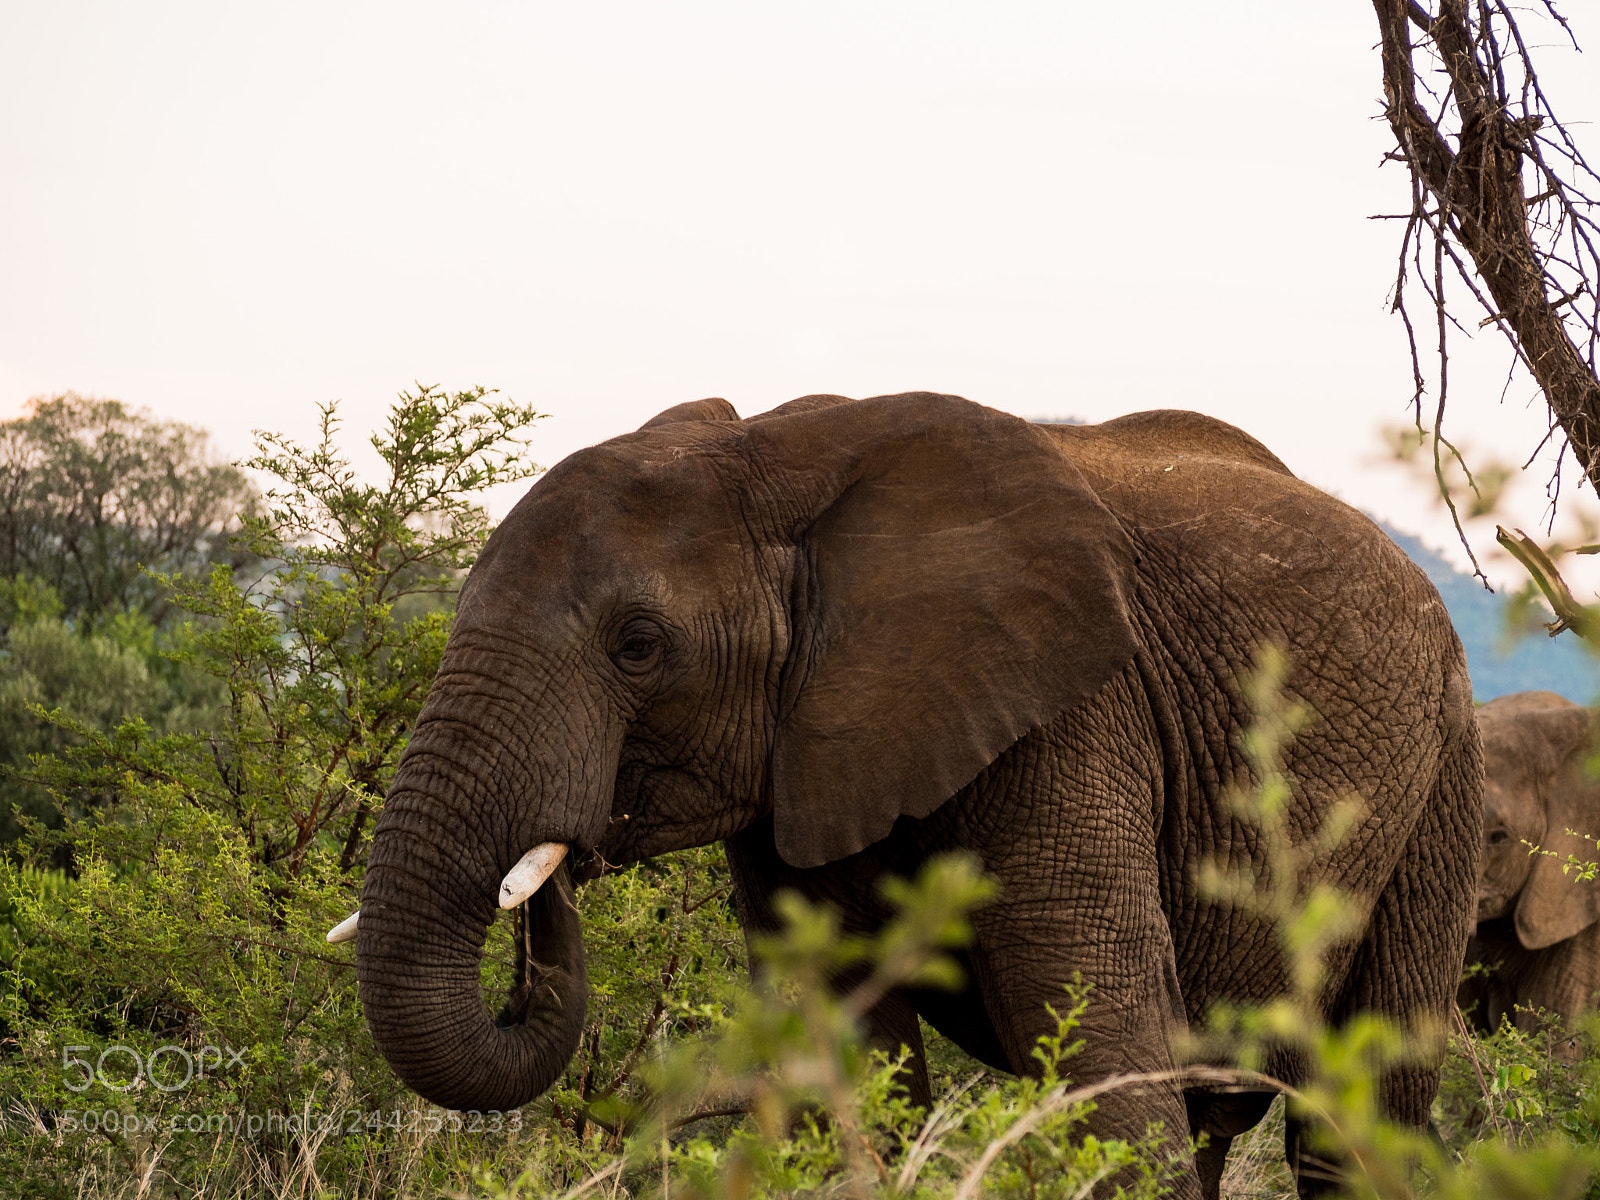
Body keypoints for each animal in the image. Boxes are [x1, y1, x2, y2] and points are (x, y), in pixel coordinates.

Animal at [340, 392, 1481, 1200]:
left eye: (638, 646)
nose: (558, 869)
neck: (773, 459)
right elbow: (839, 1048)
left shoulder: (1076, 714)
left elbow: (1092, 1030)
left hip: (1444, 766)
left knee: (1357, 1119)